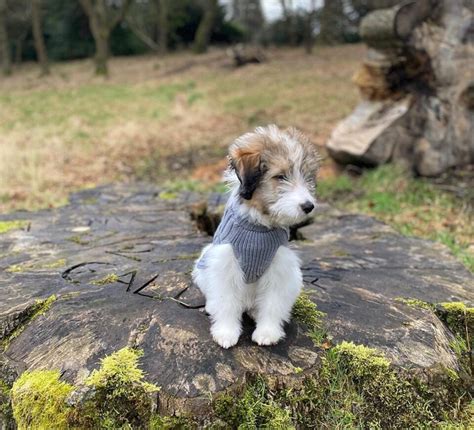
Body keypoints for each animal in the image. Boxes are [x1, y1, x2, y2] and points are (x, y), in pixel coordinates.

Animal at [192, 124, 318, 350]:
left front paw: (267, 332)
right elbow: (226, 301)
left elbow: (272, 303)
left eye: (306, 177)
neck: (259, 225)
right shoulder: (226, 263)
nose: (308, 206)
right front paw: (226, 332)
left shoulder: (279, 267)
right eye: (280, 177)